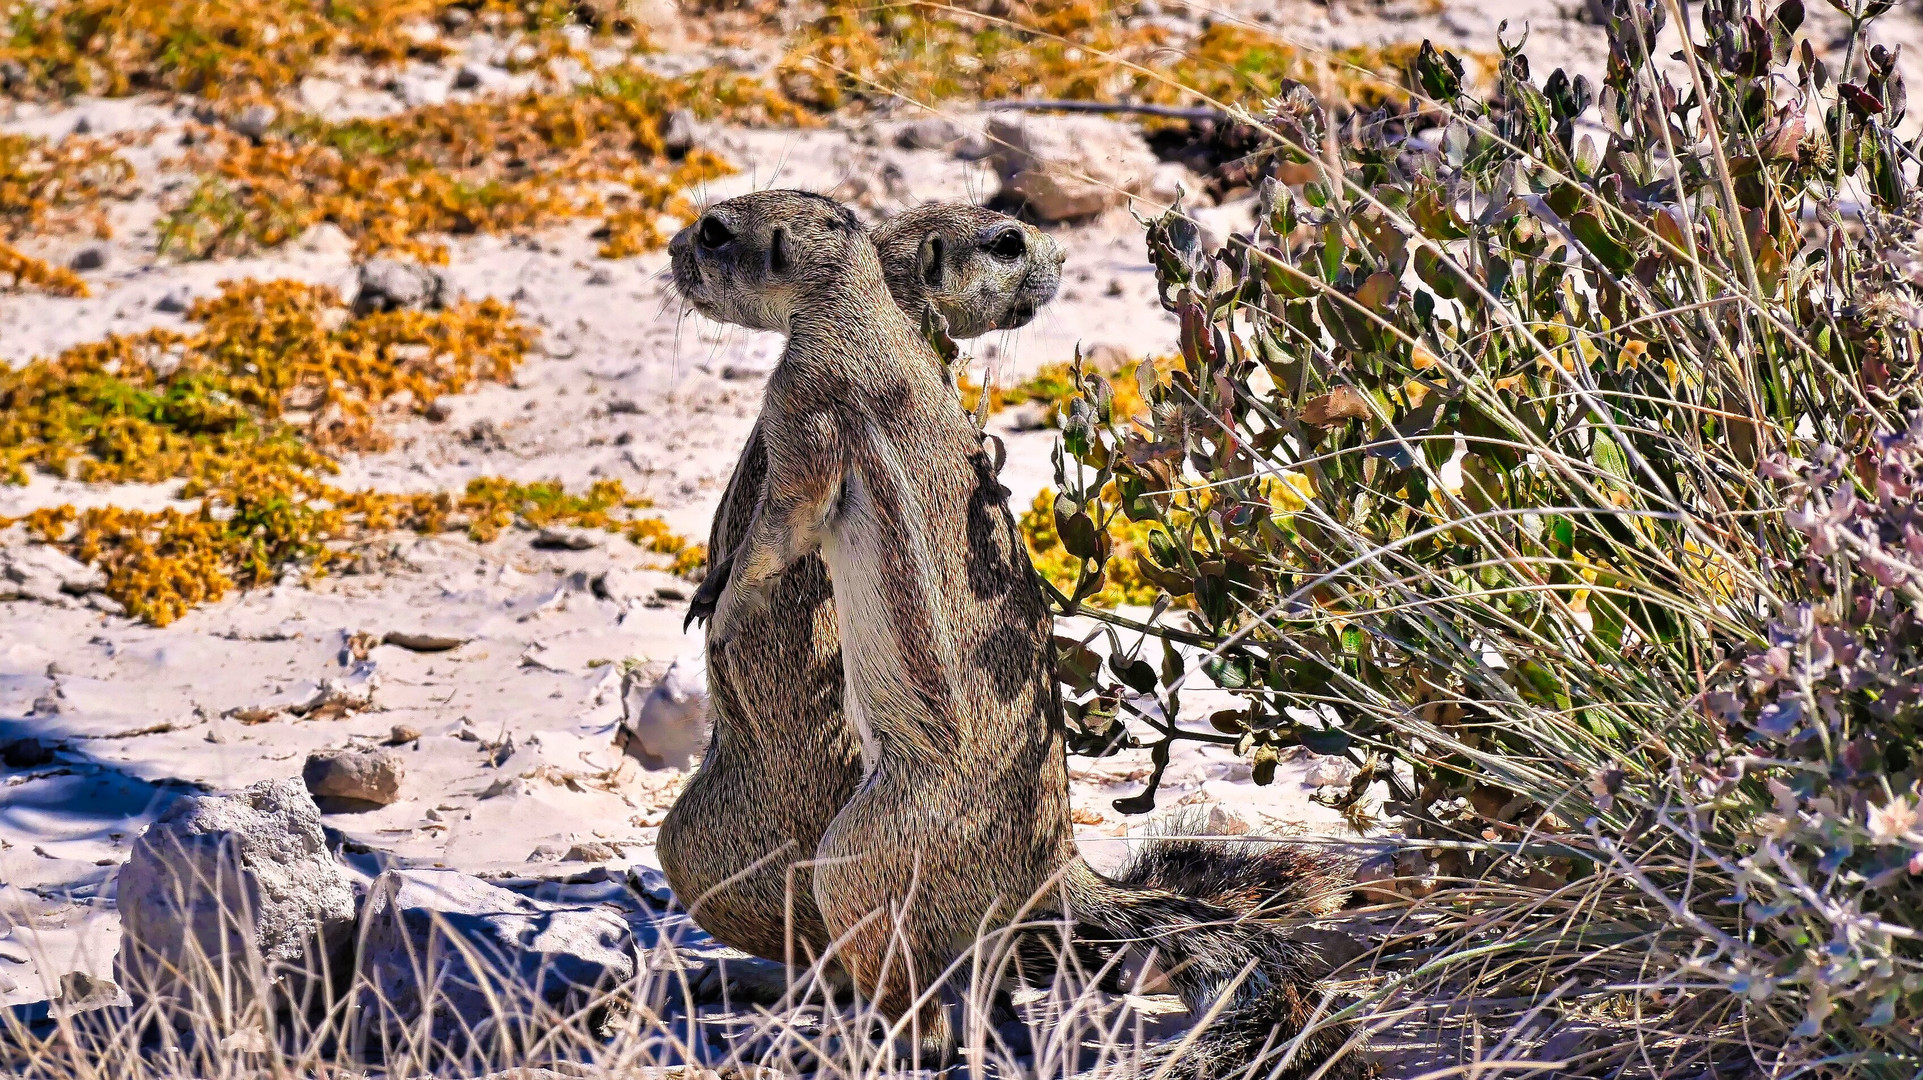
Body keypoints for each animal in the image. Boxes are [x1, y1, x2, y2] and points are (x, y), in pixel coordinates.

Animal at [657, 197, 1069, 960]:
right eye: (1007, 242)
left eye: (713, 234)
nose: (670, 249)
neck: (864, 304)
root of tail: (1054, 865)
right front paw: (713, 598)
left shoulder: (802, 413)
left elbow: (779, 526)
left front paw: (724, 611)